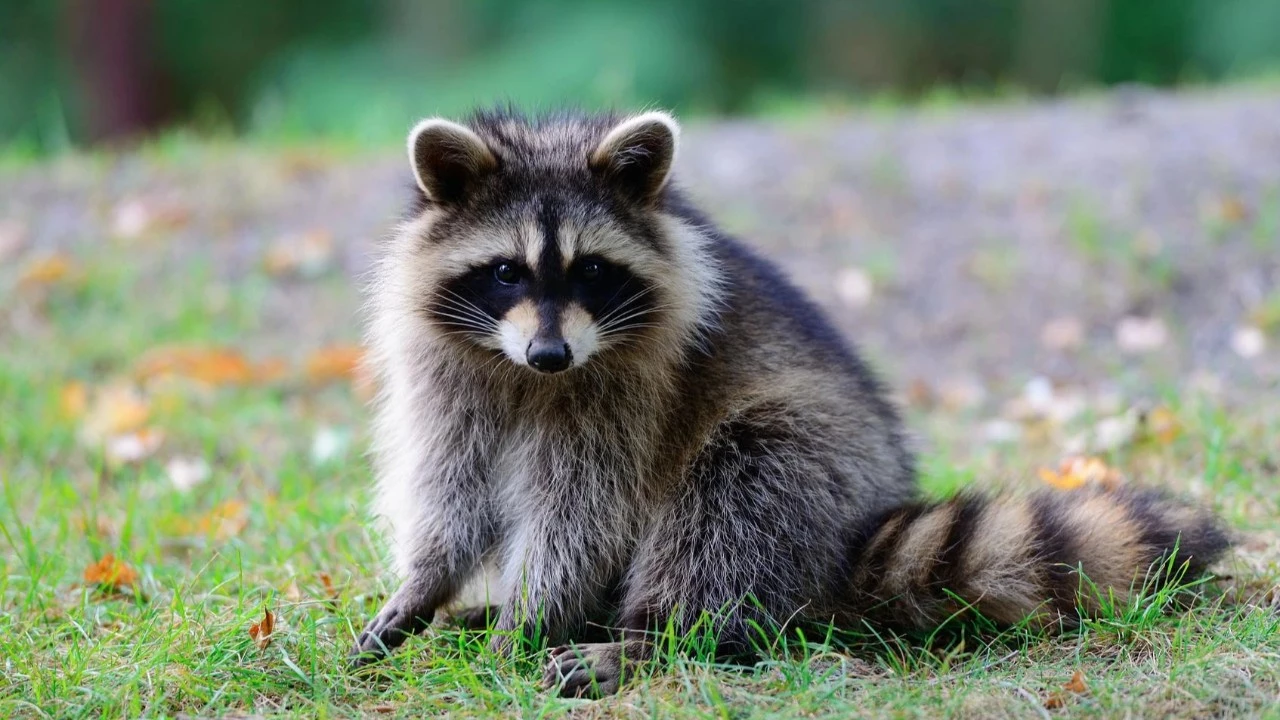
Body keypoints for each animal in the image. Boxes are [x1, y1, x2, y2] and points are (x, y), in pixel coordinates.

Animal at [352, 108, 1229, 697]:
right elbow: (452, 488)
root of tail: (858, 531)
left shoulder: (629, 390)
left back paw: (650, 636)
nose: (551, 354)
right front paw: (428, 584)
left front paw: (533, 618)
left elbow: (582, 511)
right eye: (506, 272)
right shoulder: (449, 373)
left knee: (732, 501)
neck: (526, 376)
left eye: (592, 271)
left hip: (809, 461)